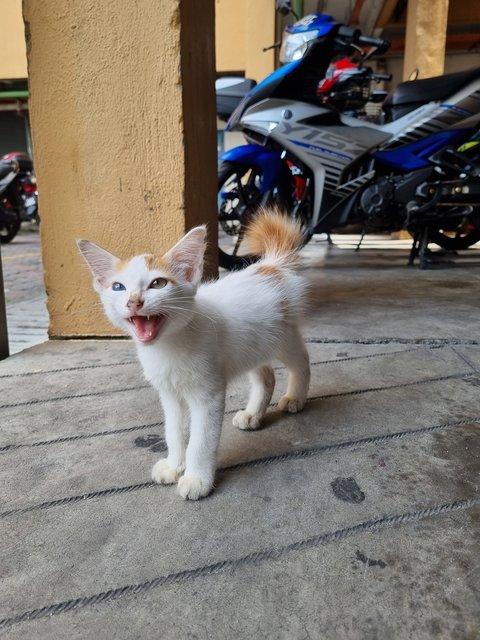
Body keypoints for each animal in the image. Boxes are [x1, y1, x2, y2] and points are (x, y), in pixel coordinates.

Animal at [78, 210, 312, 500]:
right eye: (118, 287)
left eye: (158, 283)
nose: (134, 301)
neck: (169, 347)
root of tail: (270, 266)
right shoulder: (169, 395)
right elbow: (173, 431)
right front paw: (174, 465)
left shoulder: (208, 395)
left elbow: (201, 441)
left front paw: (196, 479)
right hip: (250, 346)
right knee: (266, 375)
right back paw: (252, 414)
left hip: (283, 339)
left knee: (301, 362)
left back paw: (295, 397)